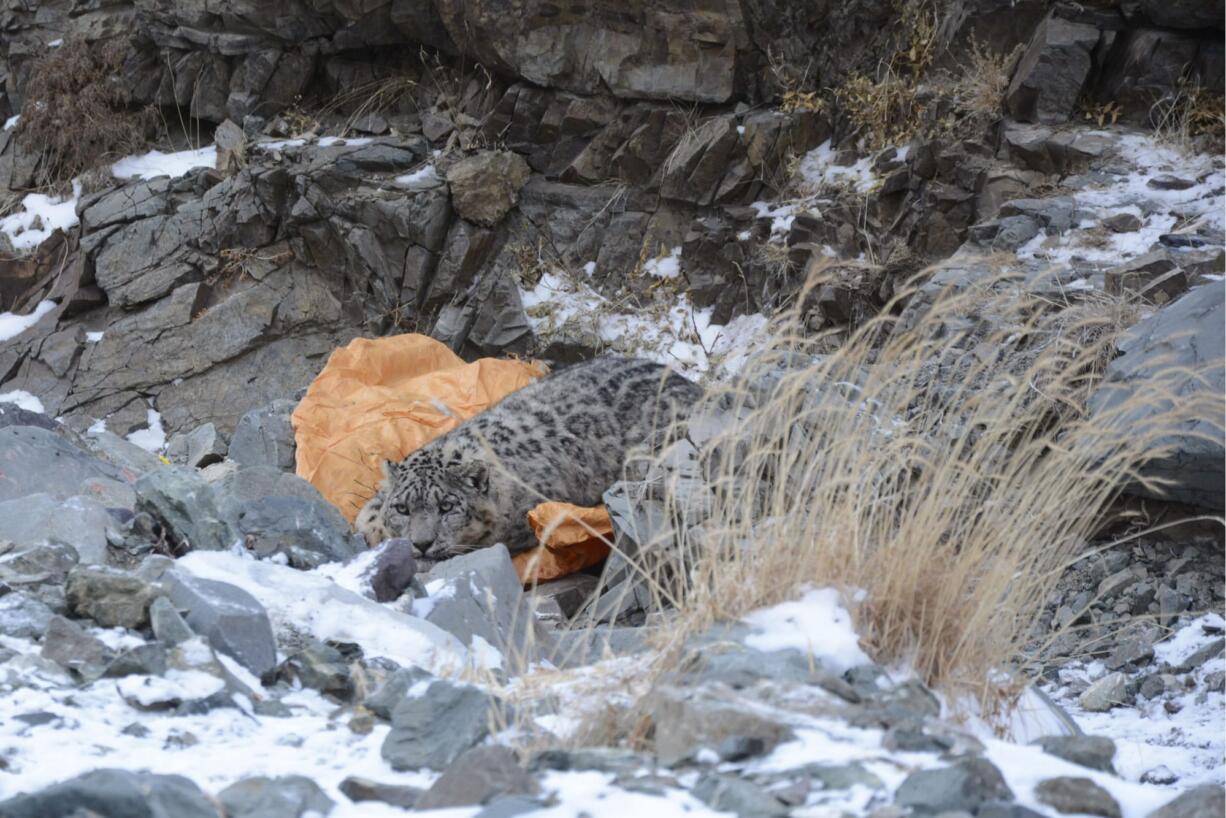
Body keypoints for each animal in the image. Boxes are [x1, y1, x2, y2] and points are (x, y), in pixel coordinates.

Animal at [355, 355, 701, 566]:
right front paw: (373, 529)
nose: (422, 543)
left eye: (447, 507)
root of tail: (690, 384)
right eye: (402, 508)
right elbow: (368, 513)